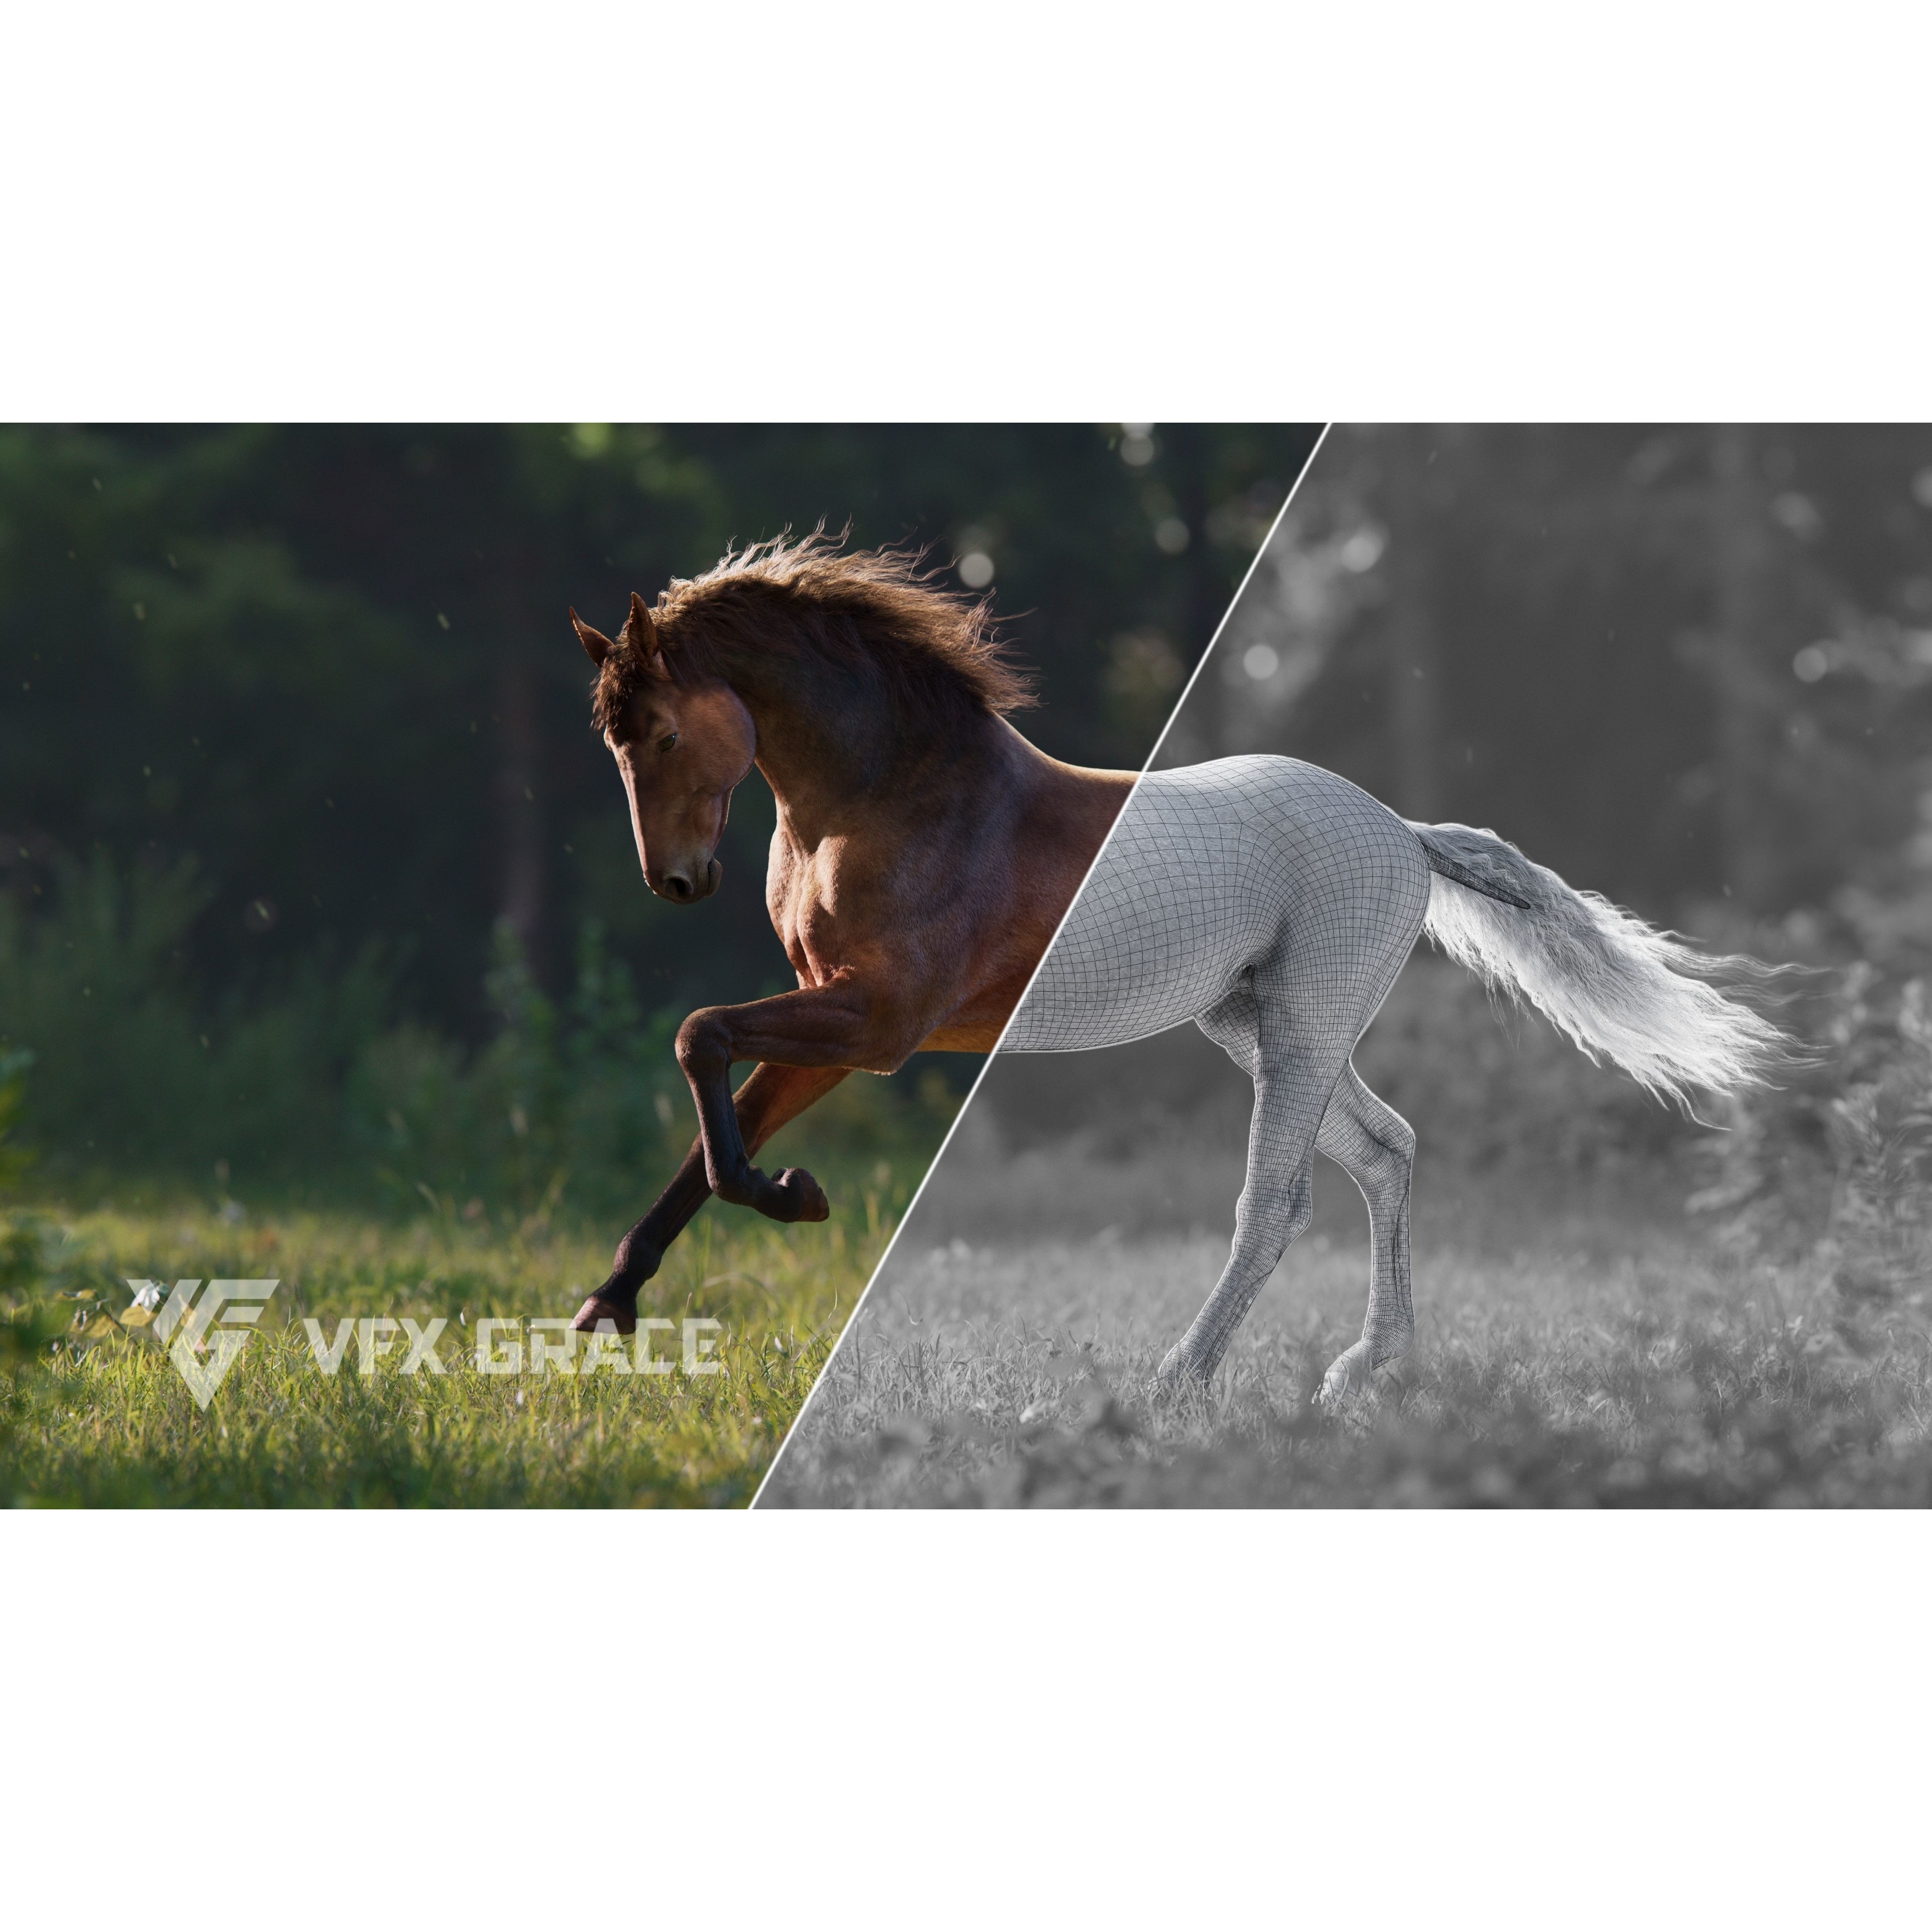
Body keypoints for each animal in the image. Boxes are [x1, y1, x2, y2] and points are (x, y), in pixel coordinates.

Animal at [565, 534, 1136, 1334]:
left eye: (667, 737)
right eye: (614, 748)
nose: (672, 880)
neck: (884, 803)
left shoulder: (877, 1021)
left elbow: (699, 1034)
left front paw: (794, 1193)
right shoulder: (828, 1015)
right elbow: (723, 1115)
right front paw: (611, 1298)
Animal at [998, 754, 1795, 1400]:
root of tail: (1403, 830)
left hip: (1308, 1020)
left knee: (1278, 1201)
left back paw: (1173, 1388)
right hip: (1250, 1022)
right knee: (1384, 1148)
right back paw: (1358, 1369)